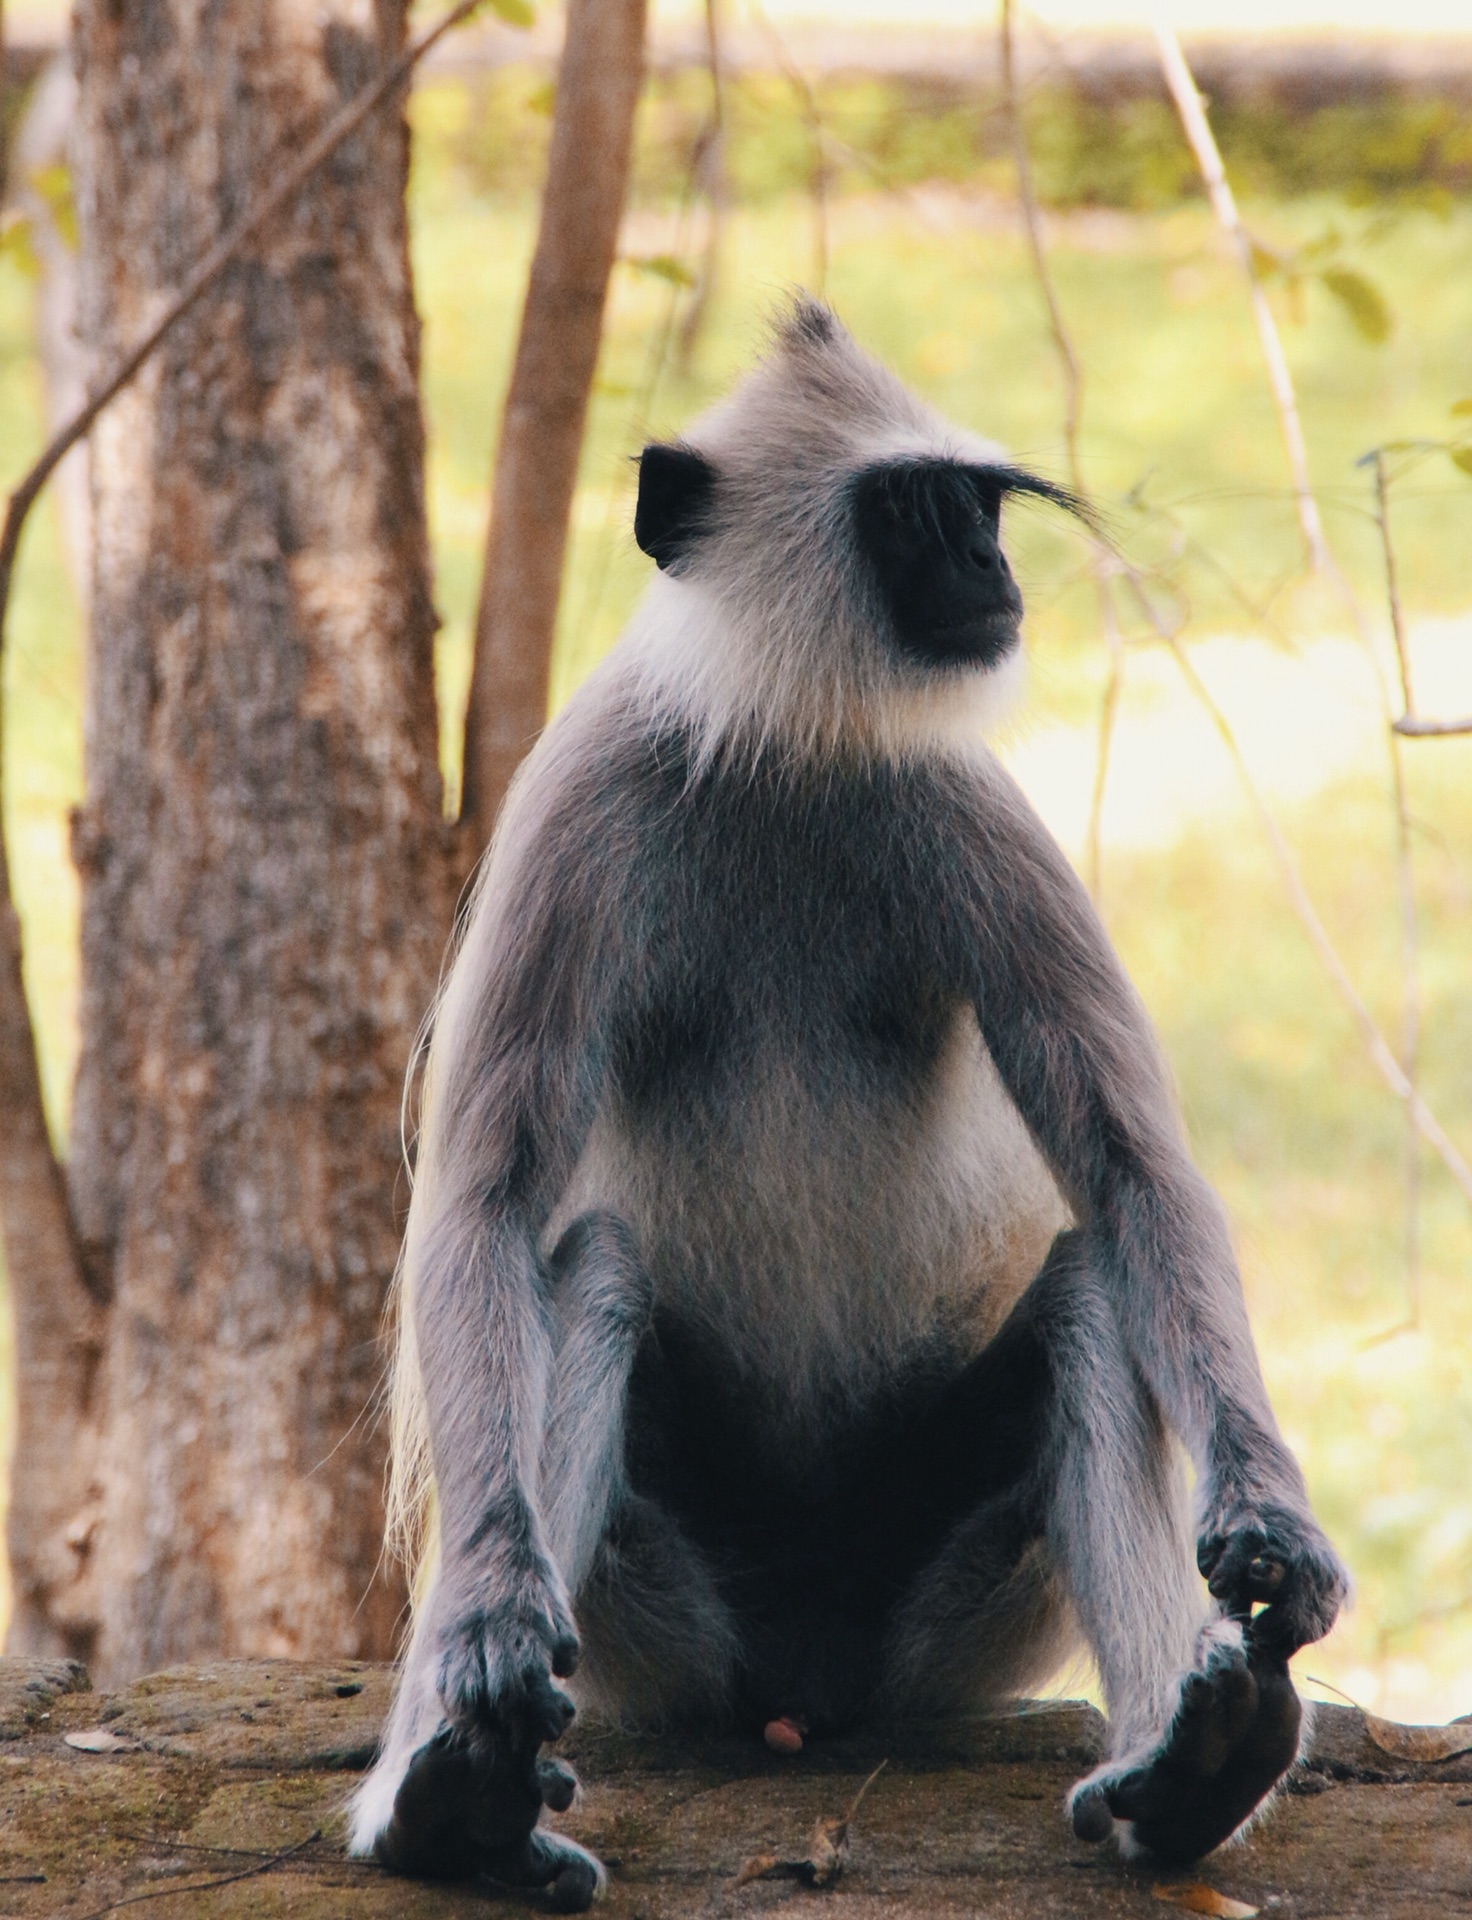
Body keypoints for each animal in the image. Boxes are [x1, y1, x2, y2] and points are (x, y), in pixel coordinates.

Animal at [345, 299, 1351, 1904]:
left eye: (981, 506)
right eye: (909, 512)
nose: (990, 571)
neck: (790, 739)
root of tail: (806, 1699)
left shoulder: (967, 808)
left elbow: (1131, 1170)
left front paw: (1268, 1522)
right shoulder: (578, 805)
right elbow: (486, 1204)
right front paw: (485, 1613)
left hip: (950, 1630)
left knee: (1088, 1292)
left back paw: (1198, 1760)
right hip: (655, 1629)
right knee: (594, 1269)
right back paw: (453, 1801)